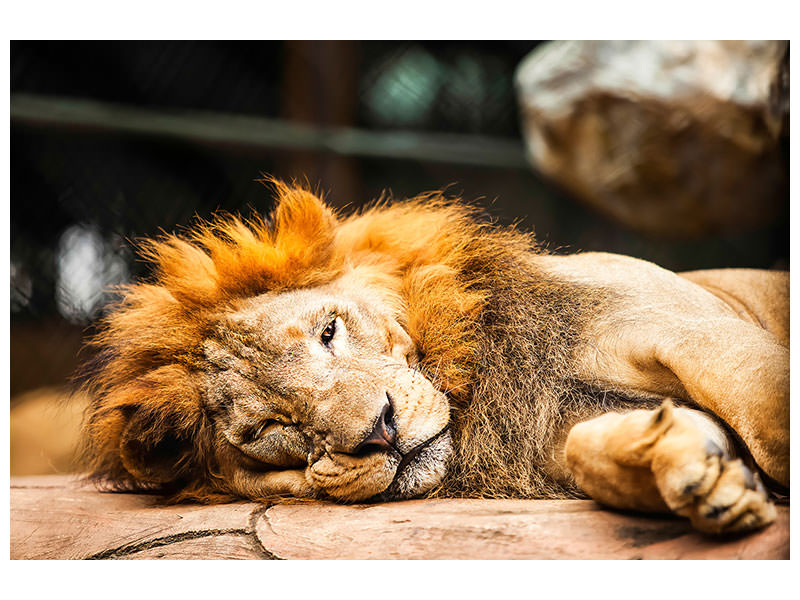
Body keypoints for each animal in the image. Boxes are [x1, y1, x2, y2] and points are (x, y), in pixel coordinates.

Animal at [79, 179, 788, 534]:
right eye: (267, 429)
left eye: (329, 332)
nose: (378, 432)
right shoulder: (547, 434)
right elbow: (594, 450)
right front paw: (703, 476)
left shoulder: (688, 329)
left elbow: (764, 408)